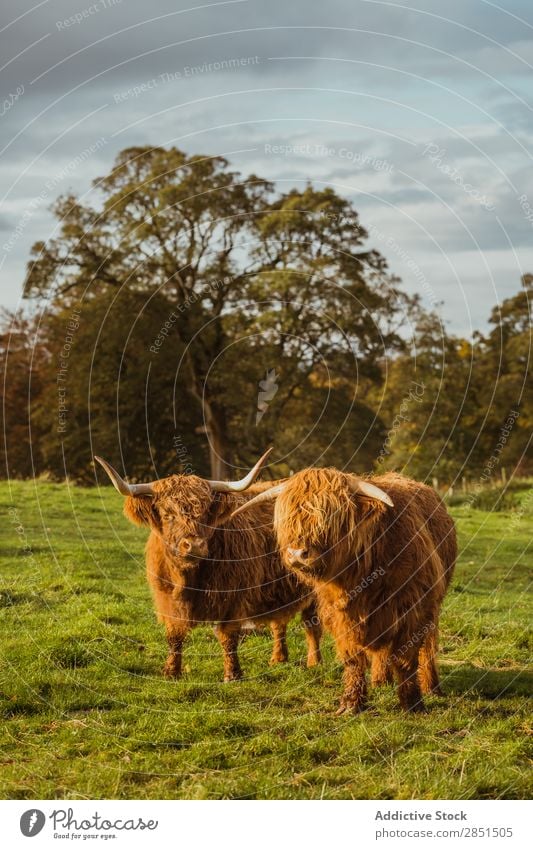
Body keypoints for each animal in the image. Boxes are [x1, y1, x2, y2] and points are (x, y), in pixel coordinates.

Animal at [95, 450, 320, 684]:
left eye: (204, 513)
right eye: (167, 514)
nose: (194, 545)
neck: (188, 577)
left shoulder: (233, 597)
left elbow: (228, 636)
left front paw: (233, 675)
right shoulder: (167, 600)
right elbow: (174, 635)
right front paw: (171, 671)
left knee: (311, 624)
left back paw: (314, 662)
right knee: (279, 623)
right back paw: (278, 659)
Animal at [231, 468, 456, 712]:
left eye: (330, 517)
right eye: (289, 516)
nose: (297, 554)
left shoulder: (412, 609)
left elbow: (406, 658)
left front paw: (412, 703)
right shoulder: (342, 616)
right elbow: (353, 659)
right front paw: (351, 704)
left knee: (428, 646)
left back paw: (432, 687)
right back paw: (380, 680)